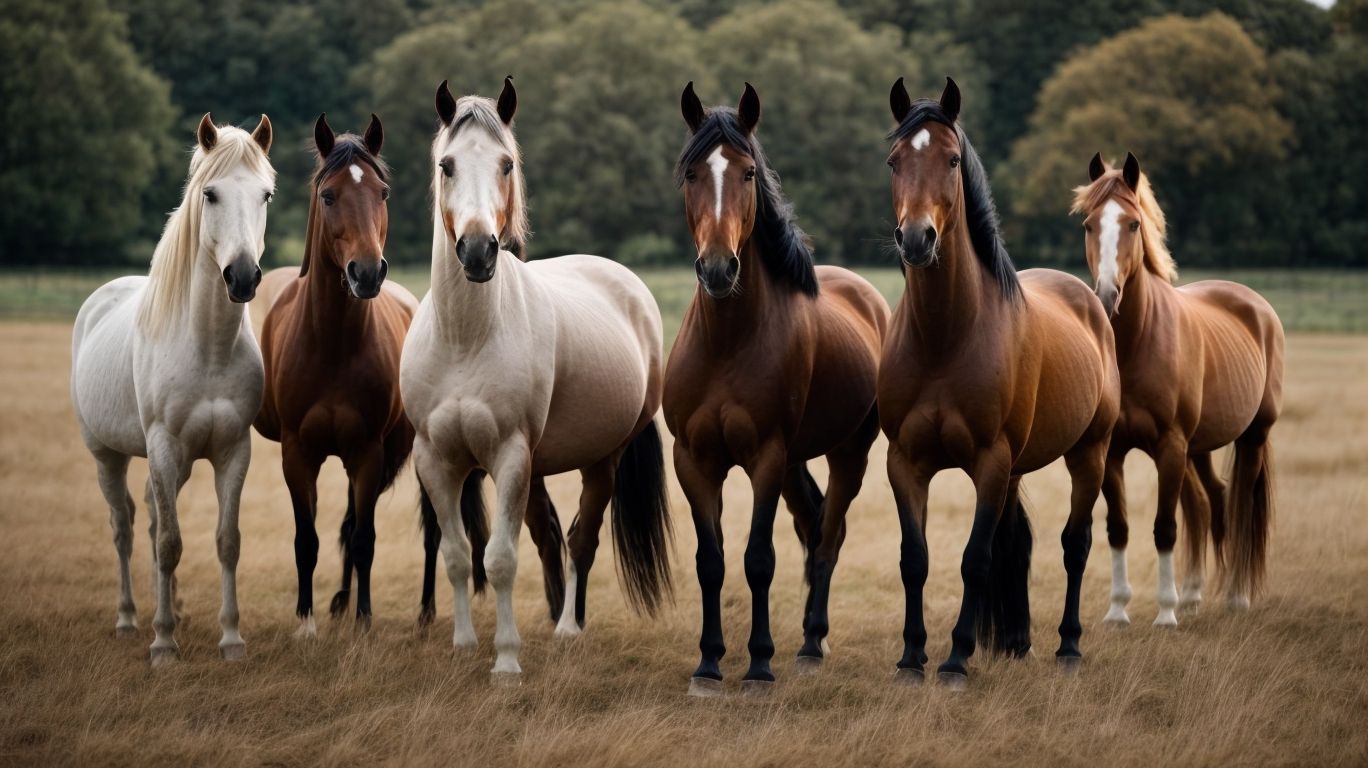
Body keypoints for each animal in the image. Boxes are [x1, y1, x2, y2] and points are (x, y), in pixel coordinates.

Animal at [71, 114, 274, 664]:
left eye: (266, 195)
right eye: (210, 193)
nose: (242, 277)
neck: (207, 347)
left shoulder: (232, 450)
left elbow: (226, 541)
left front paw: (232, 638)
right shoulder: (162, 446)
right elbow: (167, 544)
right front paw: (163, 644)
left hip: (177, 464)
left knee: (152, 517)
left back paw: (175, 610)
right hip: (107, 454)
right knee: (123, 525)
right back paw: (129, 618)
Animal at [400, 79, 672, 678]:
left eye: (506, 163)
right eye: (447, 165)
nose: (478, 251)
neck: (465, 338)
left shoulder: (508, 455)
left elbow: (500, 559)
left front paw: (506, 660)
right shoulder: (437, 460)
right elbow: (458, 555)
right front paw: (463, 644)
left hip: (600, 460)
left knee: (581, 539)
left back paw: (569, 627)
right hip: (540, 466)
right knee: (550, 537)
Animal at [665, 83, 889, 696]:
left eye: (747, 172)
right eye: (691, 172)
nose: (719, 269)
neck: (727, 343)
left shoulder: (765, 457)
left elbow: (758, 558)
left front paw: (759, 665)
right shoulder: (694, 461)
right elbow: (711, 561)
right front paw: (708, 664)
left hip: (847, 455)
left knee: (829, 536)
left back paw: (812, 643)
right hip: (795, 461)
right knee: (813, 527)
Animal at [880, 78, 1120, 685]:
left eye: (951, 159)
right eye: (894, 160)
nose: (916, 239)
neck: (946, 337)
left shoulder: (989, 461)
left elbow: (975, 559)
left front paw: (956, 658)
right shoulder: (906, 462)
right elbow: (914, 559)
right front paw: (912, 656)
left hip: (1089, 453)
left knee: (1075, 544)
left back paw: (1067, 646)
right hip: (1016, 469)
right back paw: (1016, 641)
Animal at [1072, 152, 1283, 623]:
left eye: (1133, 223)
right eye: (1089, 224)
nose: (1107, 295)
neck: (1136, 342)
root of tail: (1257, 306)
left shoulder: (1170, 445)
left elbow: (1165, 528)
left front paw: (1165, 614)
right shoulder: (1113, 451)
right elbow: (1119, 527)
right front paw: (1119, 610)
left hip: (1250, 436)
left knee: (1239, 507)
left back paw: (1235, 597)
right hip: (1197, 447)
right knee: (1207, 503)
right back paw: (1192, 594)